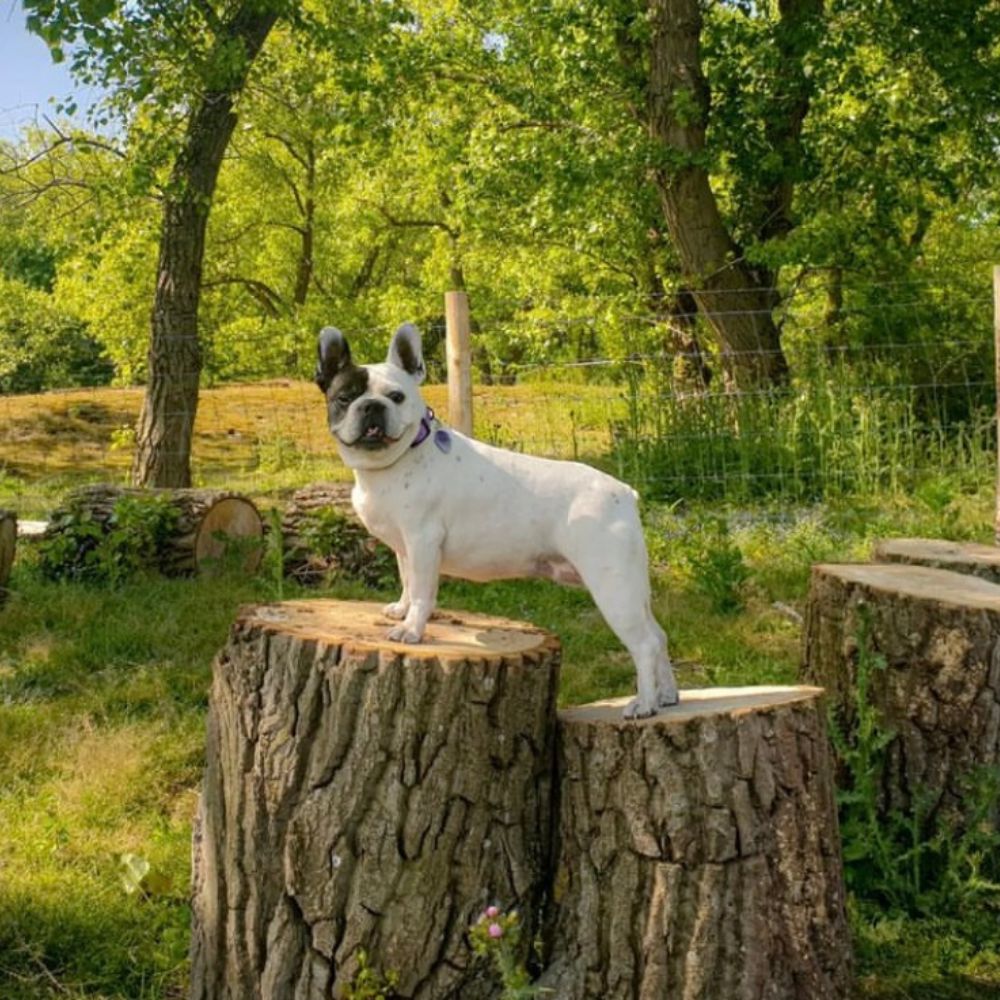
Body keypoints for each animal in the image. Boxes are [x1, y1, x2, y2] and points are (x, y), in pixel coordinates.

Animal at [316, 322, 684, 720]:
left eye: (396, 397)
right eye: (345, 398)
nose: (371, 406)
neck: (393, 462)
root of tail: (624, 494)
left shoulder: (423, 541)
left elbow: (423, 592)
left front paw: (411, 629)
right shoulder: (404, 547)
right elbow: (407, 581)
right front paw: (400, 610)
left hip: (612, 585)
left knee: (644, 643)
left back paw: (644, 703)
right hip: (631, 584)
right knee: (659, 635)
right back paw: (667, 695)